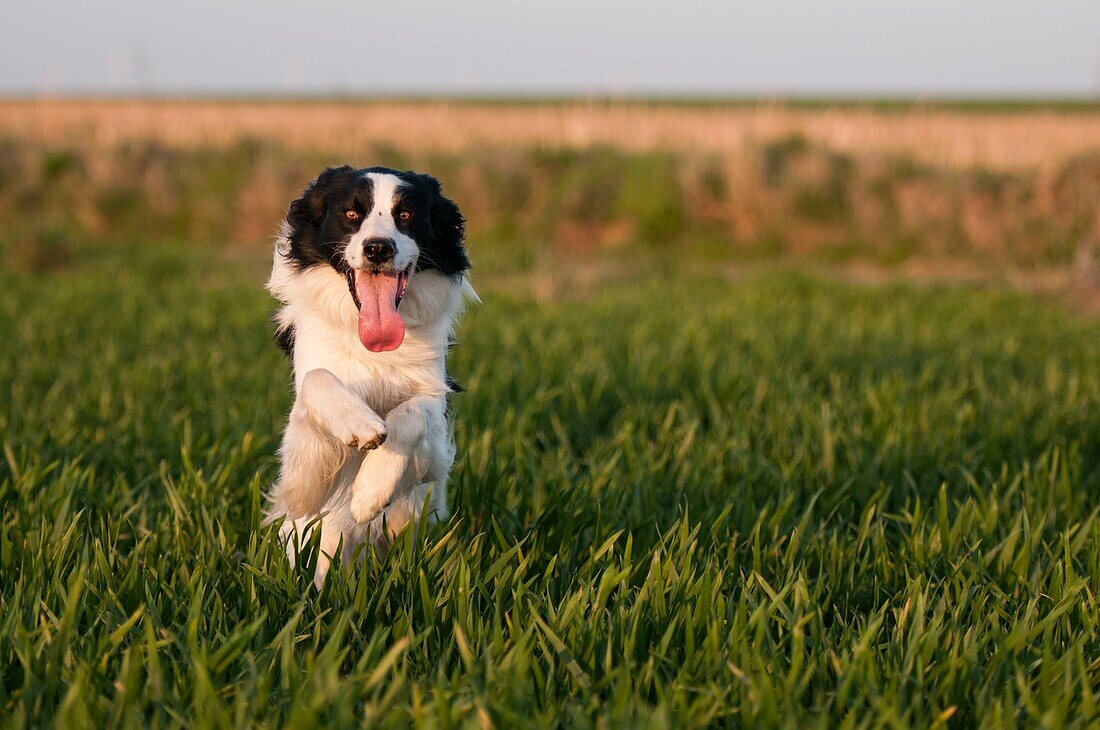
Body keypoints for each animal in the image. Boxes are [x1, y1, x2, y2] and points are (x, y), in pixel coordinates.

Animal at [267, 162, 477, 584]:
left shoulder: (436, 430)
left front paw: (370, 492)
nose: (378, 248)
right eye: (351, 213)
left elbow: (412, 412)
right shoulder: (301, 452)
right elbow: (318, 379)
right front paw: (360, 425)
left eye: (406, 215)